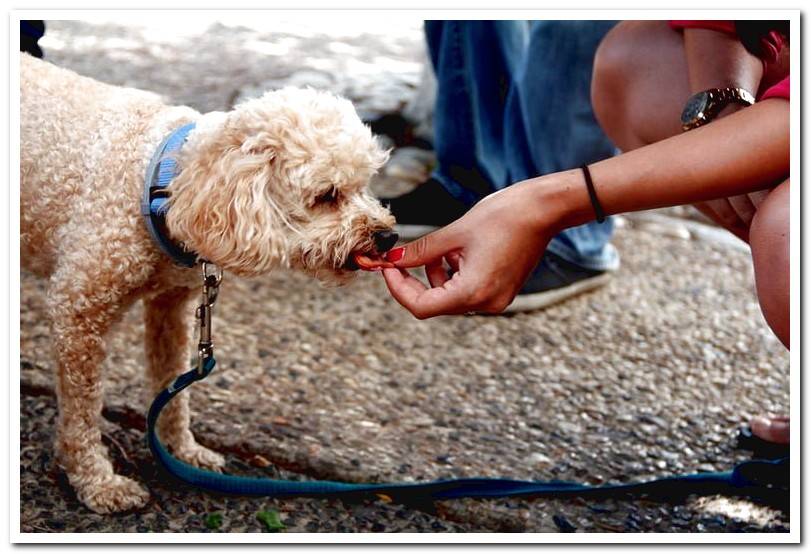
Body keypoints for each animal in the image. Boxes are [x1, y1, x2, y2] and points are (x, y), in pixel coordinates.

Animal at [20, 54, 398, 512]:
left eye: (366, 185)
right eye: (327, 195)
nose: (388, 236)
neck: (160, 182)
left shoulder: (171, 306)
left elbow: (173, 386)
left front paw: (182, 450)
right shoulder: (79, 312)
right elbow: (82, 410)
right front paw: (96, 482)